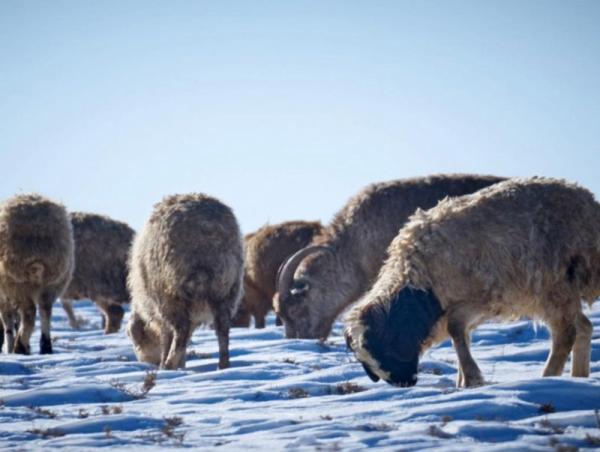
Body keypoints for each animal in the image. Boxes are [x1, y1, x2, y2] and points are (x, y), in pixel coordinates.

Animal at [0, 193, 74, 354]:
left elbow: (7, 322)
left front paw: (10, 347)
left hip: (18, 283)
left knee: (29, 314)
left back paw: (20, 347)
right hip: (53, 282)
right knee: (45, 311)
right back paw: (45, 347)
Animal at [127, 192, 244, 370]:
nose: (145, 362)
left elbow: (167, 337)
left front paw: (169, 363)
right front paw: (181, 364)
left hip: (172, 290)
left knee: (182, 331)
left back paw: (168, 365)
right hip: (226, 288)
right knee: (222, 328)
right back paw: (223, 365)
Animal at [344, 178, 600, 386]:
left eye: (383, 348)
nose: (404, 383)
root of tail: (590, 205)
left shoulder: (482, 299)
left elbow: (456, 329)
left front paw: (471, 379)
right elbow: (460, 334)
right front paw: (463, 381)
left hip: (554, 286)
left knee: (565, 334)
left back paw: (549, 379)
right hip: (558, 292)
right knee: (584, 326)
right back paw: (579, 378)